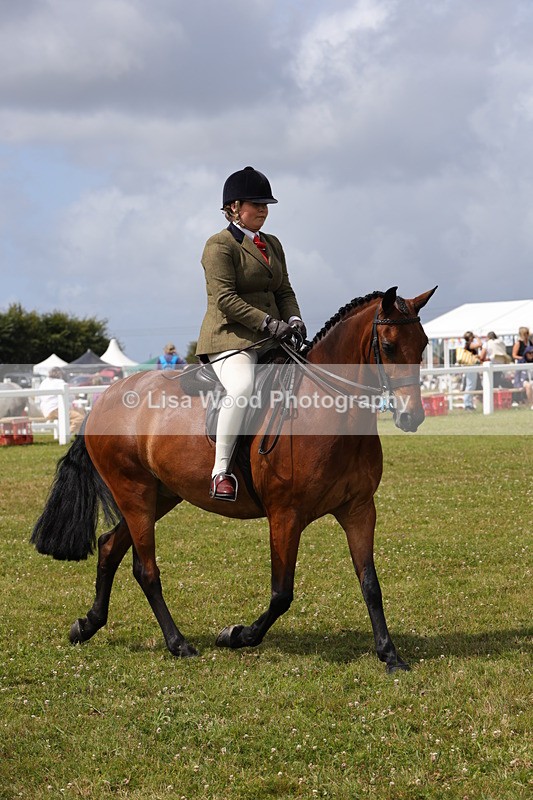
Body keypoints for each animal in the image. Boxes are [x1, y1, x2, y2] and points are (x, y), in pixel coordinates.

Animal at [32, 286, 436, 673]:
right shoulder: (286, 516)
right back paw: (178, 644)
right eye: (388, 345)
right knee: (145, 569)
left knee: (109, 547)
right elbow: (281, 593)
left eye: (423, 344)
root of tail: (103, 398)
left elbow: (370, 584)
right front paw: (237, 635)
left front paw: (390, 655)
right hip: (134, 492)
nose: (411, 416)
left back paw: (87, 625)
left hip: (159, 496)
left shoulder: (359, 509)